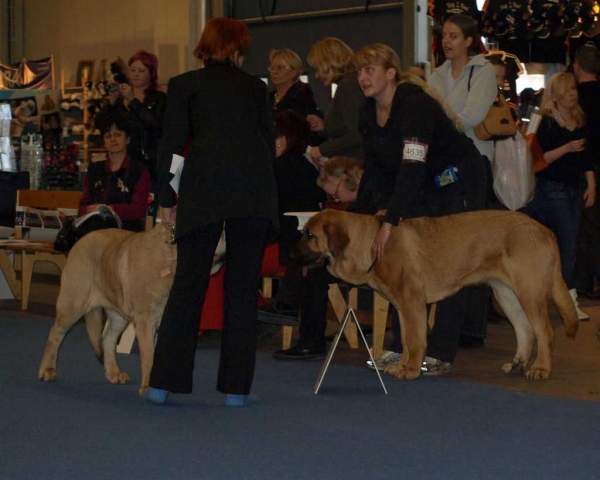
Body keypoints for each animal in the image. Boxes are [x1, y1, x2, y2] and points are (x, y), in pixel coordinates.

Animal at [292, 208, 580, 380]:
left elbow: (416, 341)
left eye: (310, 235)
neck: (371, 244)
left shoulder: (413, 304)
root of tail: (546, 231)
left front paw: (410, 371)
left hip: (530, 293)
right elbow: (406, 340)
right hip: (506, 295)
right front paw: (401, 365)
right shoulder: (402, 308)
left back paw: (541, 368)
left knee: (545, 332)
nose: (291, 256)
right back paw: (518, 363)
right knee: (524, 329)